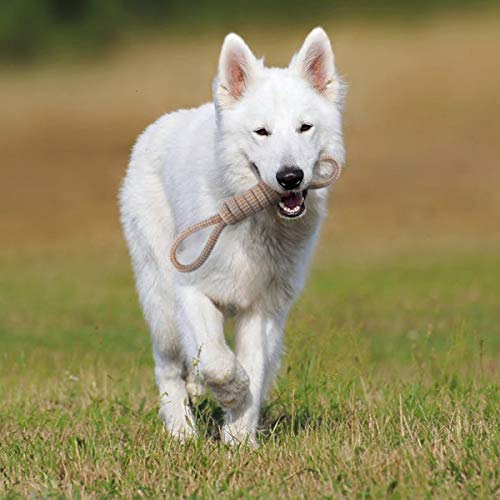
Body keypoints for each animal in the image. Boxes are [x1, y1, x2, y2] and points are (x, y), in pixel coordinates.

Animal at [119, 26, 346, 446]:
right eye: (262, 132)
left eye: (305, 127)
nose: (290, 177)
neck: (251, 219)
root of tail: (157, 127)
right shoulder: (190, 292)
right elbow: (218, 362)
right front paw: (231, 393)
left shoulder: (263, 309)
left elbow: (252, 367)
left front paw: (240, 438)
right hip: (161, 302)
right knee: (168, 366)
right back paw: (181, 431)